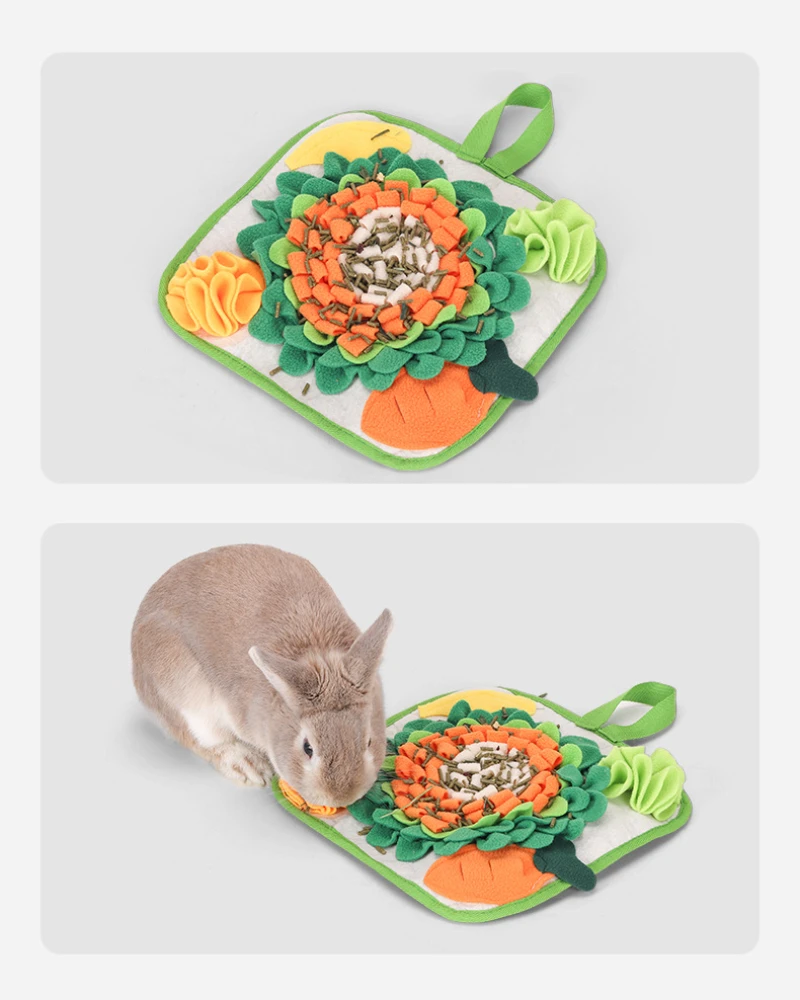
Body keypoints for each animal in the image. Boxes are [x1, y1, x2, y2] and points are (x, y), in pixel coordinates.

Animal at [131, 544, 392, 806]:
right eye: (307, 748)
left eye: (369, 741)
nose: (340, 799)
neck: (316, 651)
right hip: (185, 692)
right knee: (201, 738)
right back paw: (247, 764)